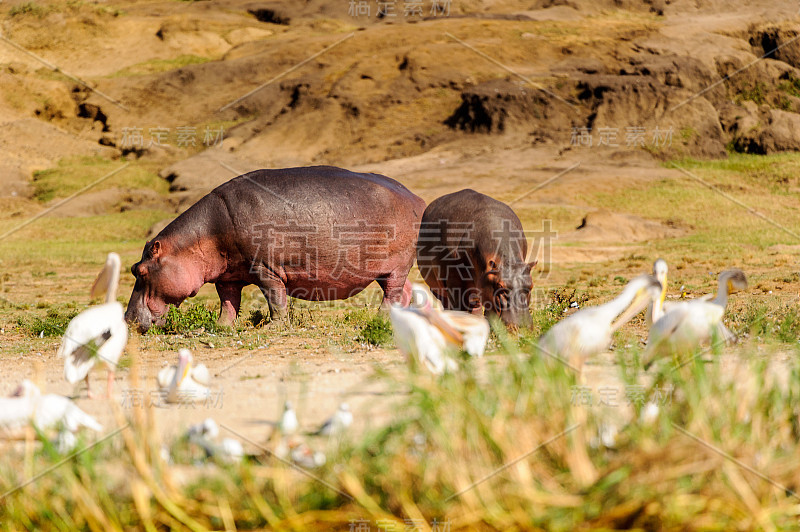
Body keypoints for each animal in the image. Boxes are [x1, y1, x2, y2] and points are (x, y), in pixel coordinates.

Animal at [126, 166, 424, 332]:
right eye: (132, 268)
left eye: (139, 270)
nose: (127, 319)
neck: (195, 240)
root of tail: (415, 196)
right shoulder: (227, 276)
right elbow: (228, 303)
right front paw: (219, 327)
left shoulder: (265, 268)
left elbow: (275, 299)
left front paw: (271, 327)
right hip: (385, 269)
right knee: (404, 290)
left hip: (397, 265)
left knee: (392, 293)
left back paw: (380, 321)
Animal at [416, 189, 536, 326]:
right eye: (500, 286)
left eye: (531, 285)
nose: (522, 325)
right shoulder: (454, 281)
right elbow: (459, 307)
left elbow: (490, 312)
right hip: (438, 287)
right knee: (447, 303)